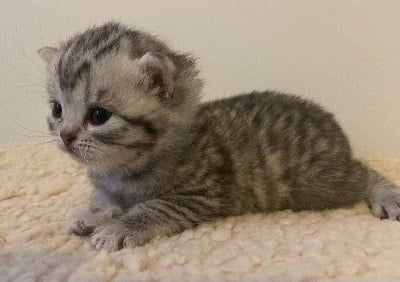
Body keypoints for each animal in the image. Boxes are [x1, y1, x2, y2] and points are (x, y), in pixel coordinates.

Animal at [38, 22, 400, 251]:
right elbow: (107, 199)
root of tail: (336, 130)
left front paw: (117, 228)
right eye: (57, 109)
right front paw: (92, 212)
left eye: (99, 115)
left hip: (320, 184)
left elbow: (151, 208)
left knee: (364, 172)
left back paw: (386, 195)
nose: (65, 136)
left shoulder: (200, 195)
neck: (127, 165)